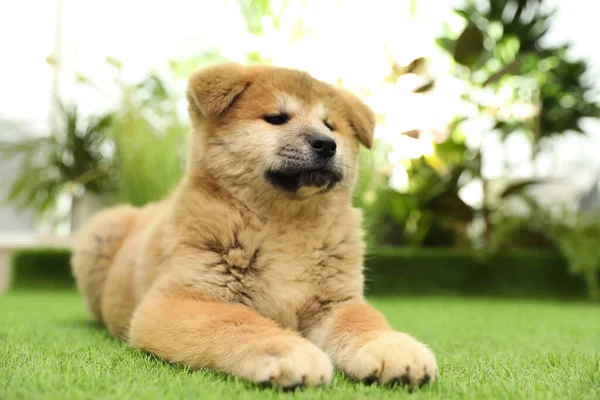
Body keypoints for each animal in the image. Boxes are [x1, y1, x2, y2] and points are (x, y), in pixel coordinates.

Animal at [70, 64, 438, 390]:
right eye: (276, 118)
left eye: (330, 125)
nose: (326, 144)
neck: (287, 225)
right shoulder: (178, 300)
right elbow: (238, 322)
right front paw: (290, 352)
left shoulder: (336, 302)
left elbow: (364, 322)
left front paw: (392, 347)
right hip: (98, 234)